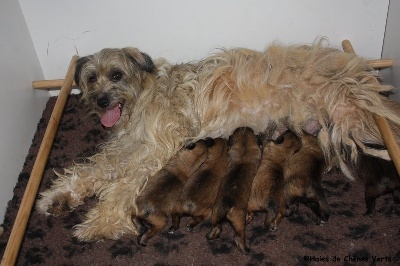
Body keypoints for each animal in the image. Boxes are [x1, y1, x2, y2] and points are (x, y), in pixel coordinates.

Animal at [36, 39, 400, 241]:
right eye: (90, 78)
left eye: (116, 74)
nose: (100, 101)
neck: (143, 95)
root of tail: (364, 73)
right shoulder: (125, 147)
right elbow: (94, 169)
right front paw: (58, 197)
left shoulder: (155, 148)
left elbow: (124, 185)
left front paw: (102, 221)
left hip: (352, 118)